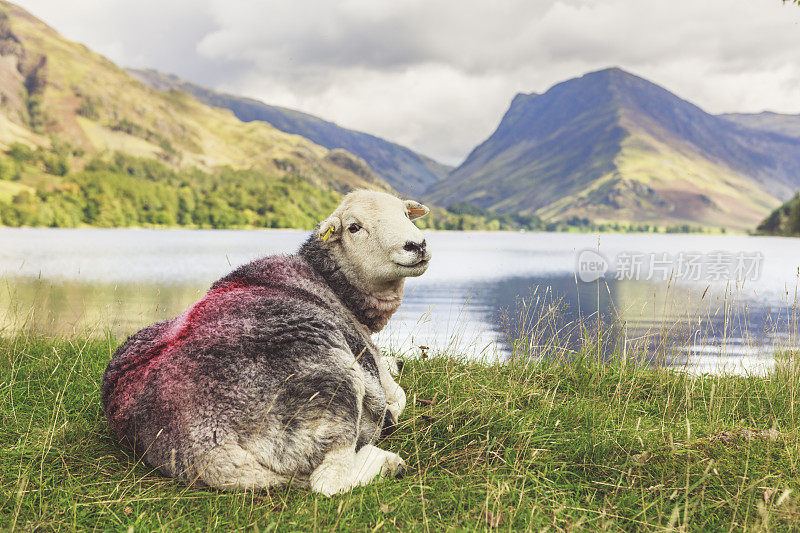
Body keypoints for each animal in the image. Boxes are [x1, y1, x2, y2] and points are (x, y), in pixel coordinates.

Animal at [104, 188, 434, 494]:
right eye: (354, 227)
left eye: (406, 214)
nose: (417, 245)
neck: (333, 284)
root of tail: (204, 445)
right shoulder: (369, 361)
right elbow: (399, 395)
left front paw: (396, 362)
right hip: (333, 389)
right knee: (329, 481)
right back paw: (389, 463)